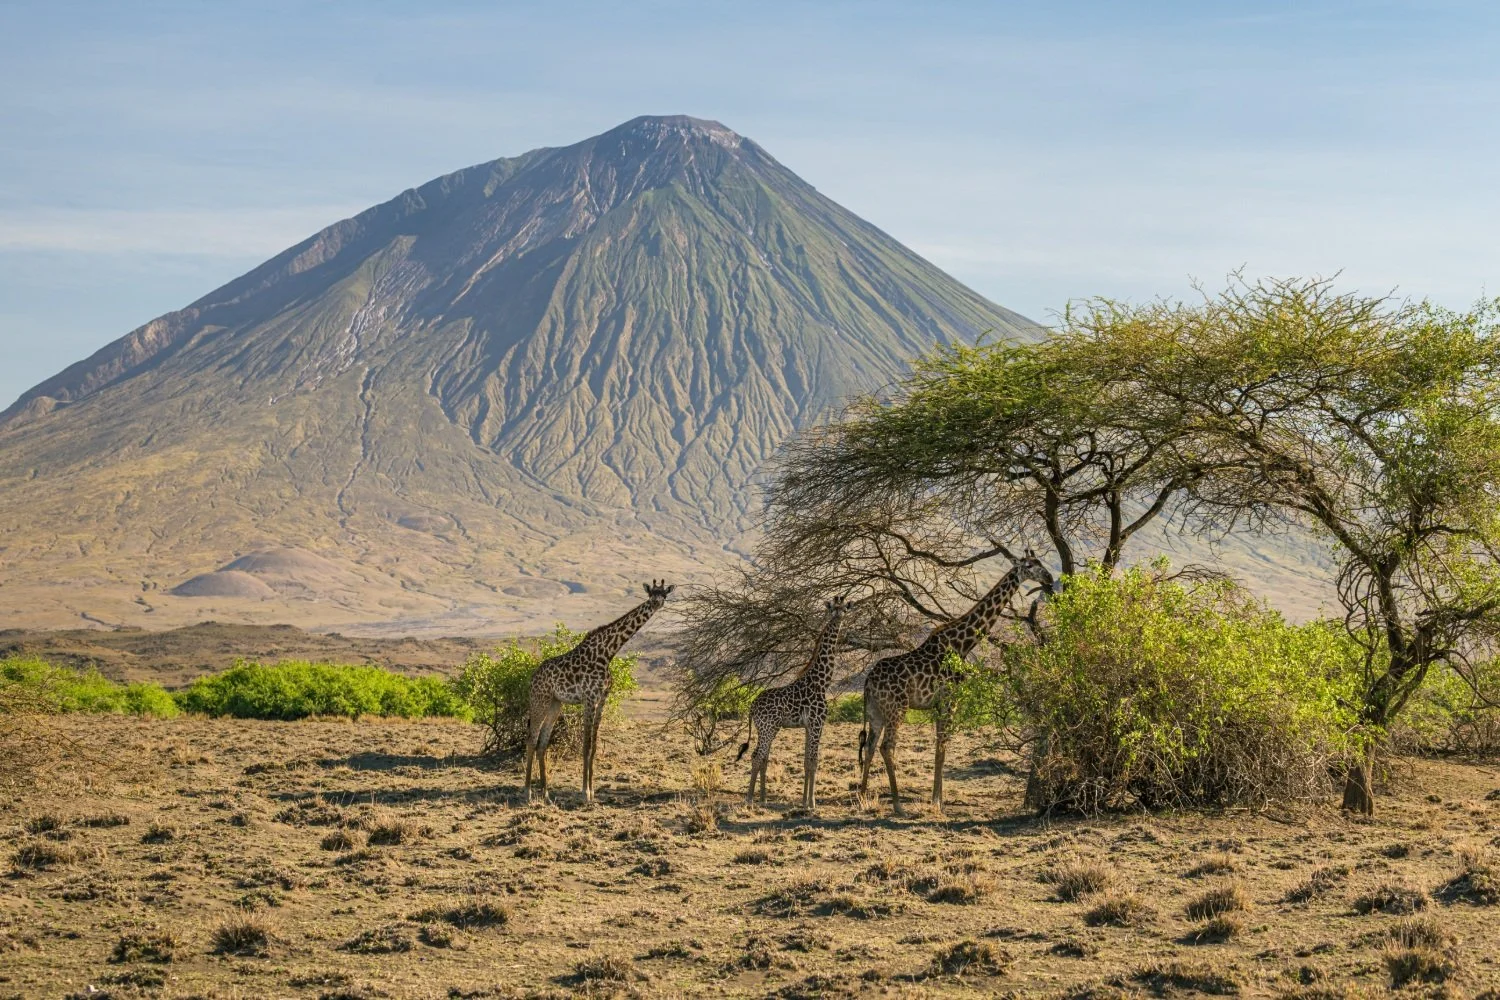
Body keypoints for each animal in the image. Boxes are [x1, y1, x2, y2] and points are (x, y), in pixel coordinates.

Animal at [524, 579, 674, 803]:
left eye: (664, 594)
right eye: (651, 594)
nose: (656, 603)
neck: (607, 653)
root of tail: (533, 677)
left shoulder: (601, 699)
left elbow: (593, 746)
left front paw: (593, 791)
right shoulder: (588, 698)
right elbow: (585, 746)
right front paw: (584, 792)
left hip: (555, 703)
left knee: (542, 742)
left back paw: (546, 793)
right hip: (539, 700)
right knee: (532, 740)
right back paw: (527, 791)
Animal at [735, 596, 848, 809]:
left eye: (844, 609)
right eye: (833, 609)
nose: (838, 616)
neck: (822, 682)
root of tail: (752, 706)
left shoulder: (808, 726)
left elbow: (806, 761)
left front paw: (804, 801)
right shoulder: (817, 723)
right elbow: (813, 761)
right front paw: (811, 803)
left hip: (769, 728)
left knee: (762, 757)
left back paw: (763, 798)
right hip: (768, 728)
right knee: (757, 756)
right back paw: (749, 799)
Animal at [857, 551, 1053, 816]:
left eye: (1041, 563)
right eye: (1030, 566)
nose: (1050, 577)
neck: (963, 644)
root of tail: (868, 682)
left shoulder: (941, 703)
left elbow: (940, 747)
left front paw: (937, 800)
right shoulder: (950, 699)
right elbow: (942, 747)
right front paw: (937, 803)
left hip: (876, 711)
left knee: (869, 746)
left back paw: (862, 796)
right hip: (897, 708)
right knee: (887, 747)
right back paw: (898, 805)